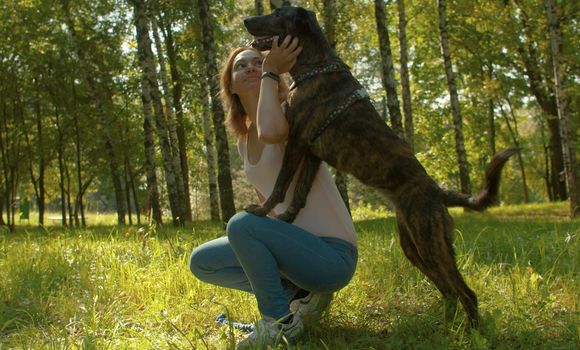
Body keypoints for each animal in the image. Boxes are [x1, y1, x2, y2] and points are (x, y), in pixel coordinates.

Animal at [241, 5, 516, 326]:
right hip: (414, 247)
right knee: (448, 290)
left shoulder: (297, 141)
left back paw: (473, 331)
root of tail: (437, 192)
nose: (246, 20)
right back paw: (446, 326)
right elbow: (300, 193)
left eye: (276, 13)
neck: (313, 65)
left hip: (430, 244)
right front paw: (286, 218)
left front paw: (262, 211)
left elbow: (282, 184)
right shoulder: (311, 152)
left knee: (465, 292)